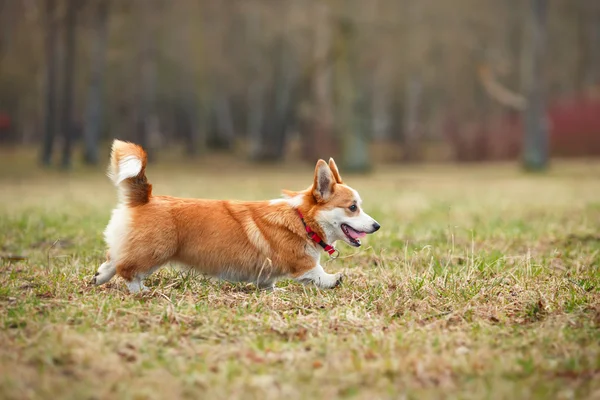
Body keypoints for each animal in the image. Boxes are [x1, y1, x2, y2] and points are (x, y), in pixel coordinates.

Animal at [92, 139, 380, 292]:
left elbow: (268, 284)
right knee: (127, 269)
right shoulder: (302, 263)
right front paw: (334, 279)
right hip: (155, 251)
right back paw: (141, 291)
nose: (377, 226)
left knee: (112, 259)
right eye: (353, 207)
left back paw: (98, 279)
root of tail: (146, 197)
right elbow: (318, 273)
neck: (302, 219)